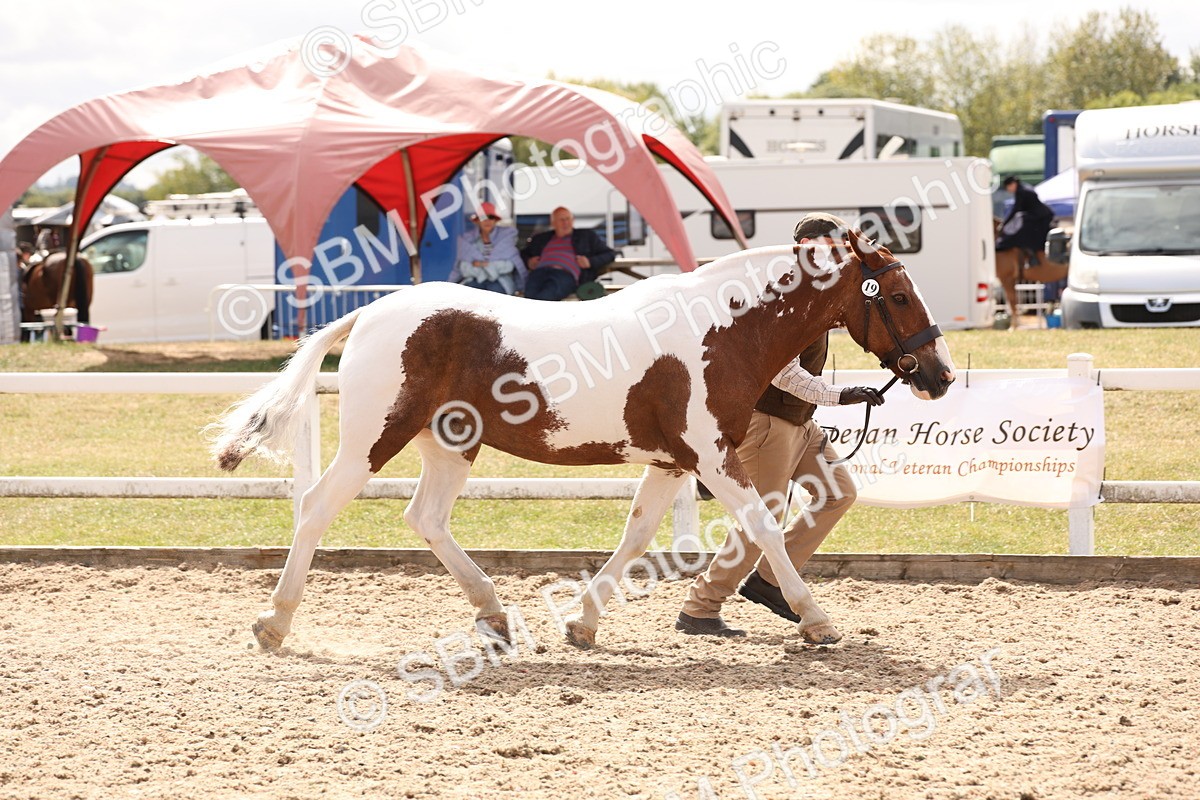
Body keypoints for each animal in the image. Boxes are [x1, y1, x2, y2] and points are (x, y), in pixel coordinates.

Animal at [211, 229, 956, 651]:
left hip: (450, 444)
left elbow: (637, 534)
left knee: (426, 518)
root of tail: (369, 312)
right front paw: (817, 620)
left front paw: (582, 623)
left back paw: (496, 618)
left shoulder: (672, 461)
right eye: (895, 296)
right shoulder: (713, 457)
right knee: (317, 507)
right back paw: (273, 624)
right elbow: (765, 529)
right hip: (375, 435)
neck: (720, 331)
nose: (941, 375)